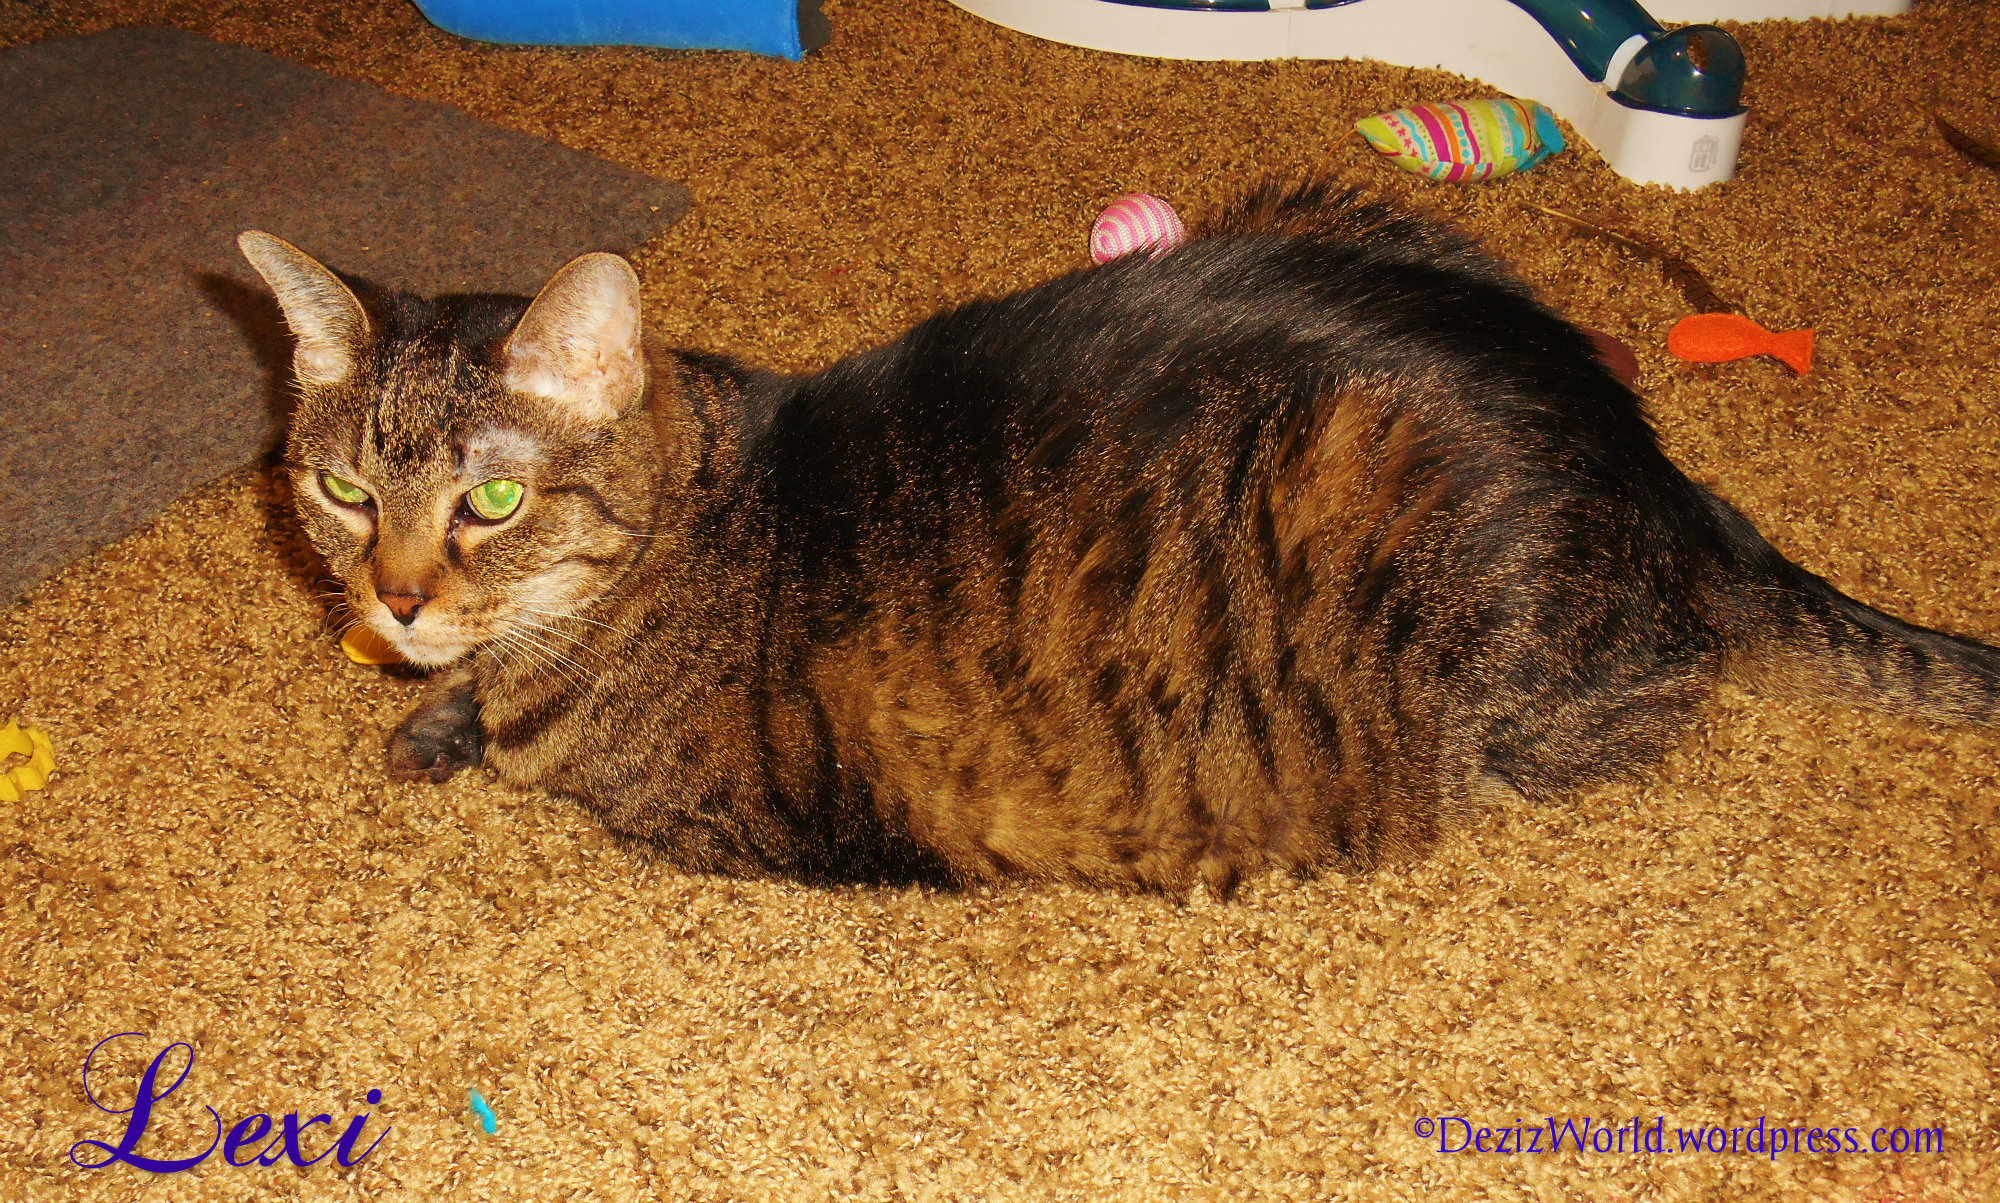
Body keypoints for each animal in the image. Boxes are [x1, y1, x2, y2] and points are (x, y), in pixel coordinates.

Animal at [239, 182, 1999, 894]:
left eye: (490, 498)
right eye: (343, 492)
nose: (396, 596)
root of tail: (1671, 485)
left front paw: (454, 711)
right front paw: (430, 704)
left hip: (1504, 684)